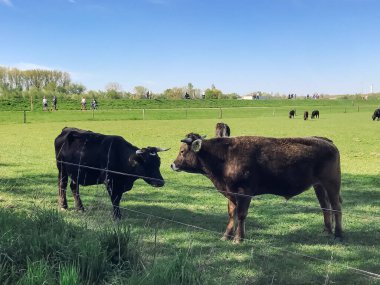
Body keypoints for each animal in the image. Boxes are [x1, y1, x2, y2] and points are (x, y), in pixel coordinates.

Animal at [171, 133, 342, 242]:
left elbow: (241, 215)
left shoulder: (244, 193)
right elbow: (231, 214)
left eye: (182, 151)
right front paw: (226, 236)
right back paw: (327, 231)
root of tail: (325, 140)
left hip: (332, 184)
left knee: (336, 207)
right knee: (325, 207)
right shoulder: (231, 193)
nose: (172, 164)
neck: (225, 156)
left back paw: (338, 234)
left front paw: (238, 239)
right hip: (319, 186)